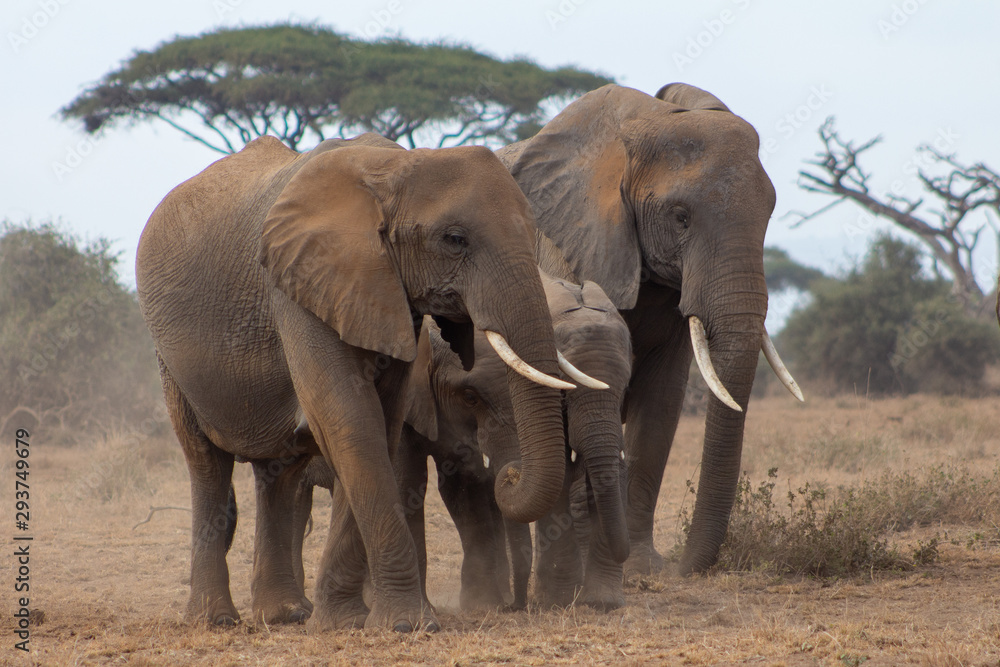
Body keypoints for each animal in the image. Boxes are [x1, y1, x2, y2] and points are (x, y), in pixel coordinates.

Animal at [292, 264, 632, 612]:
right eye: (469, 397)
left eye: (626, 390)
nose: (516, 605)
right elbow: (411, 480)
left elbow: (465, 487)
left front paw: (485, 603)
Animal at [494, 83, 804, 576]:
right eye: (680, 217)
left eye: (771, 213)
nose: (686, 568)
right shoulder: (564, 242)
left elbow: (661, 402)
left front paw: (642, 567)